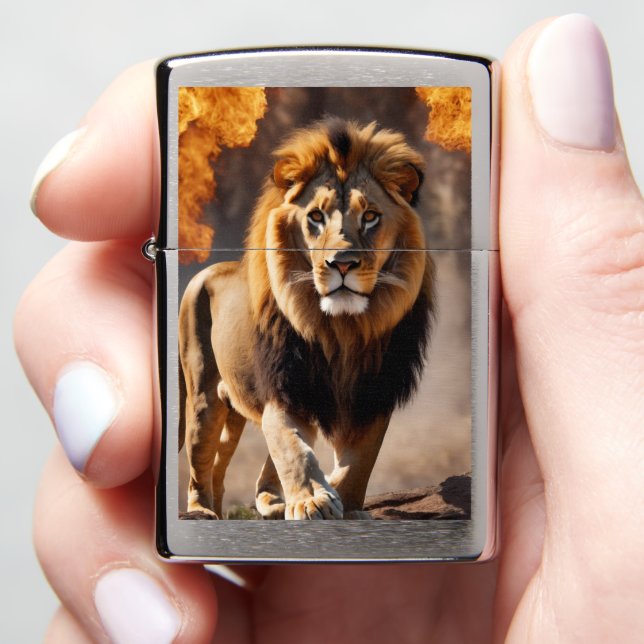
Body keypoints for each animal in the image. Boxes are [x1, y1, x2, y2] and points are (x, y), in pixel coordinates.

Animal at [179, 118, 434, 520]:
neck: (342, 329)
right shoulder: (285, 388)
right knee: (201, 459)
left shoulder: (372, 396)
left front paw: (347, 503)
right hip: (203, 393)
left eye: (371, 216)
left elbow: (358, 462)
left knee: (226, 465)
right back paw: (203, 510)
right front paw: (313, 499)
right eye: (315, 216)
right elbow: (292, 447)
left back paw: (266, 503)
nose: (341, 263)